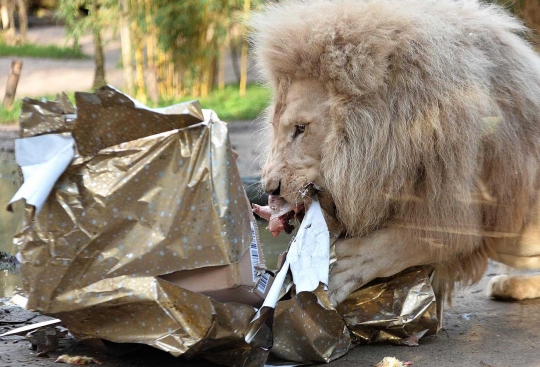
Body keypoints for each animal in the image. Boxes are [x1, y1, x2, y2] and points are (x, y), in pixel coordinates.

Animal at [251, 0, 540, 306]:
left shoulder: (456, 195)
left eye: (300, 128)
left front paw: (343, 268)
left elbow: (405, 241)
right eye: (274, 126)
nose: (271, 189)